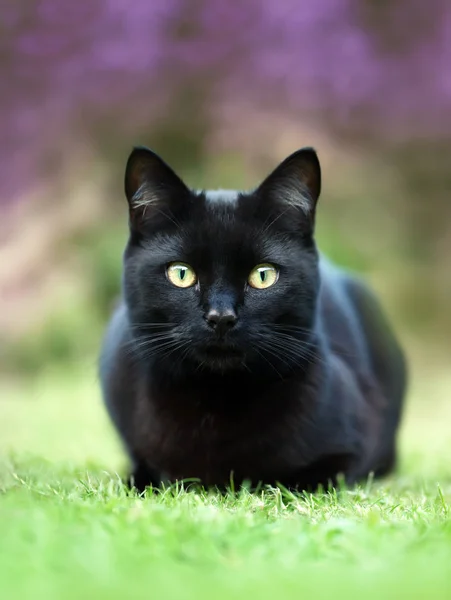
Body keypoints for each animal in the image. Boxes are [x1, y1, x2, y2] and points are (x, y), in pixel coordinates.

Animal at [100, 146, 410, 492]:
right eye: (181, 273)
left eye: (263, 275)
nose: (221, 317)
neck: (216, 401)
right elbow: (144, 471)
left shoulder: (351, 449)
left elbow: (310, 478)